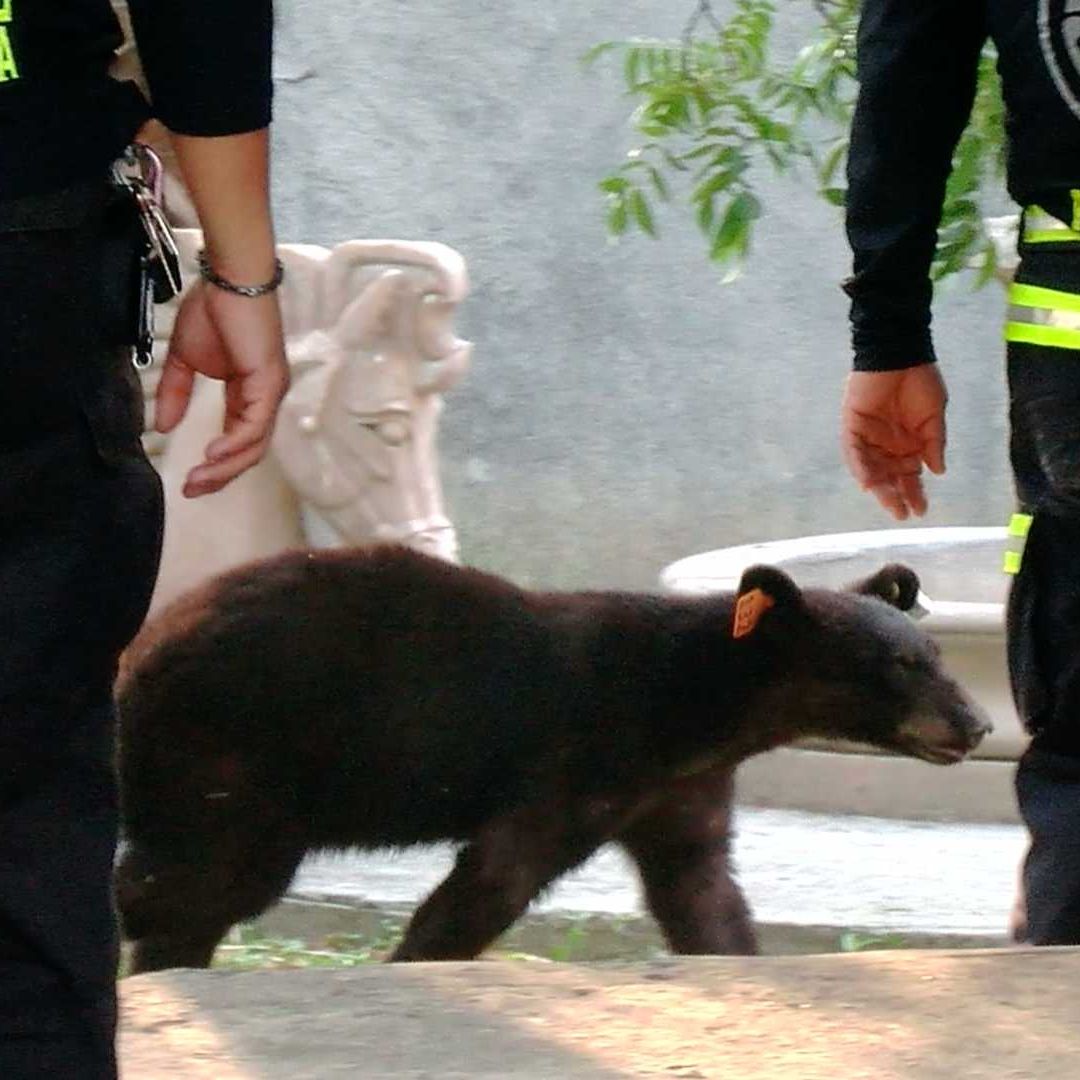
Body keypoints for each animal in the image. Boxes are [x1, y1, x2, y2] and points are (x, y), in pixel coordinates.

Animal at [113, 544, 990, 972]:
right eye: (901, 664)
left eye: (932, 655)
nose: (977, 723)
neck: (692, 706)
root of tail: (139, 654)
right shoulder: (584, 754)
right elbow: (498, 875)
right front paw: (420, 955)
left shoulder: (680, 788)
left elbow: (701, 890)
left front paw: (737, 955)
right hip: (235, 758)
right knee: (192, 882)